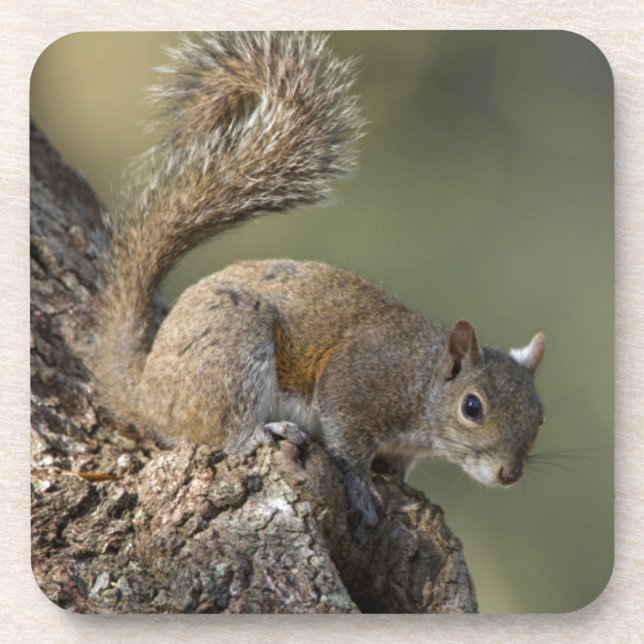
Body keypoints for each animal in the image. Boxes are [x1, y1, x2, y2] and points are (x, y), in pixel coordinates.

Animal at [92, 32, 546, 540]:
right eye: (472, 407)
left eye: (540, 416)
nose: (510, 473)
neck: (421, 382)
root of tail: (146, 392)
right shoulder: (356, 385)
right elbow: (348, 446)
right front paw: (362, 491)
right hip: (233, 351)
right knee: (220, 430)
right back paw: (261, 432)